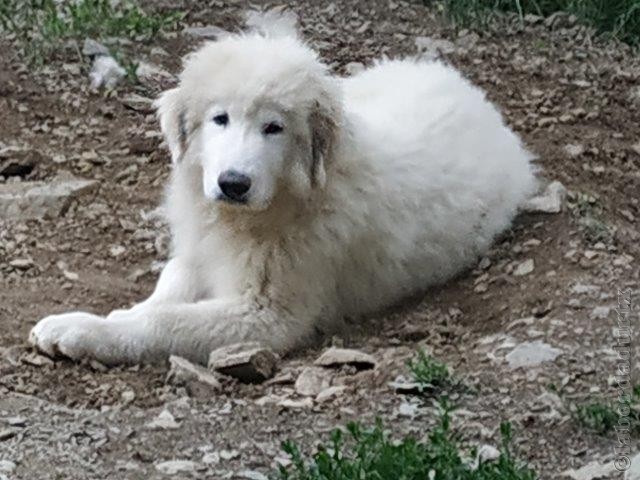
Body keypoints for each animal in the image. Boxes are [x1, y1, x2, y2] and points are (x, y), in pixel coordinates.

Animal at [32, 18, 536, 364]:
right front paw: (102, 318)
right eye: (220, 118)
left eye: (274, 128)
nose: (233, 183)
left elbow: (167, 320)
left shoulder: (267, 313)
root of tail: (478, 99)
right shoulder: (201, 248)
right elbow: (168, 287)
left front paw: (85, 332)